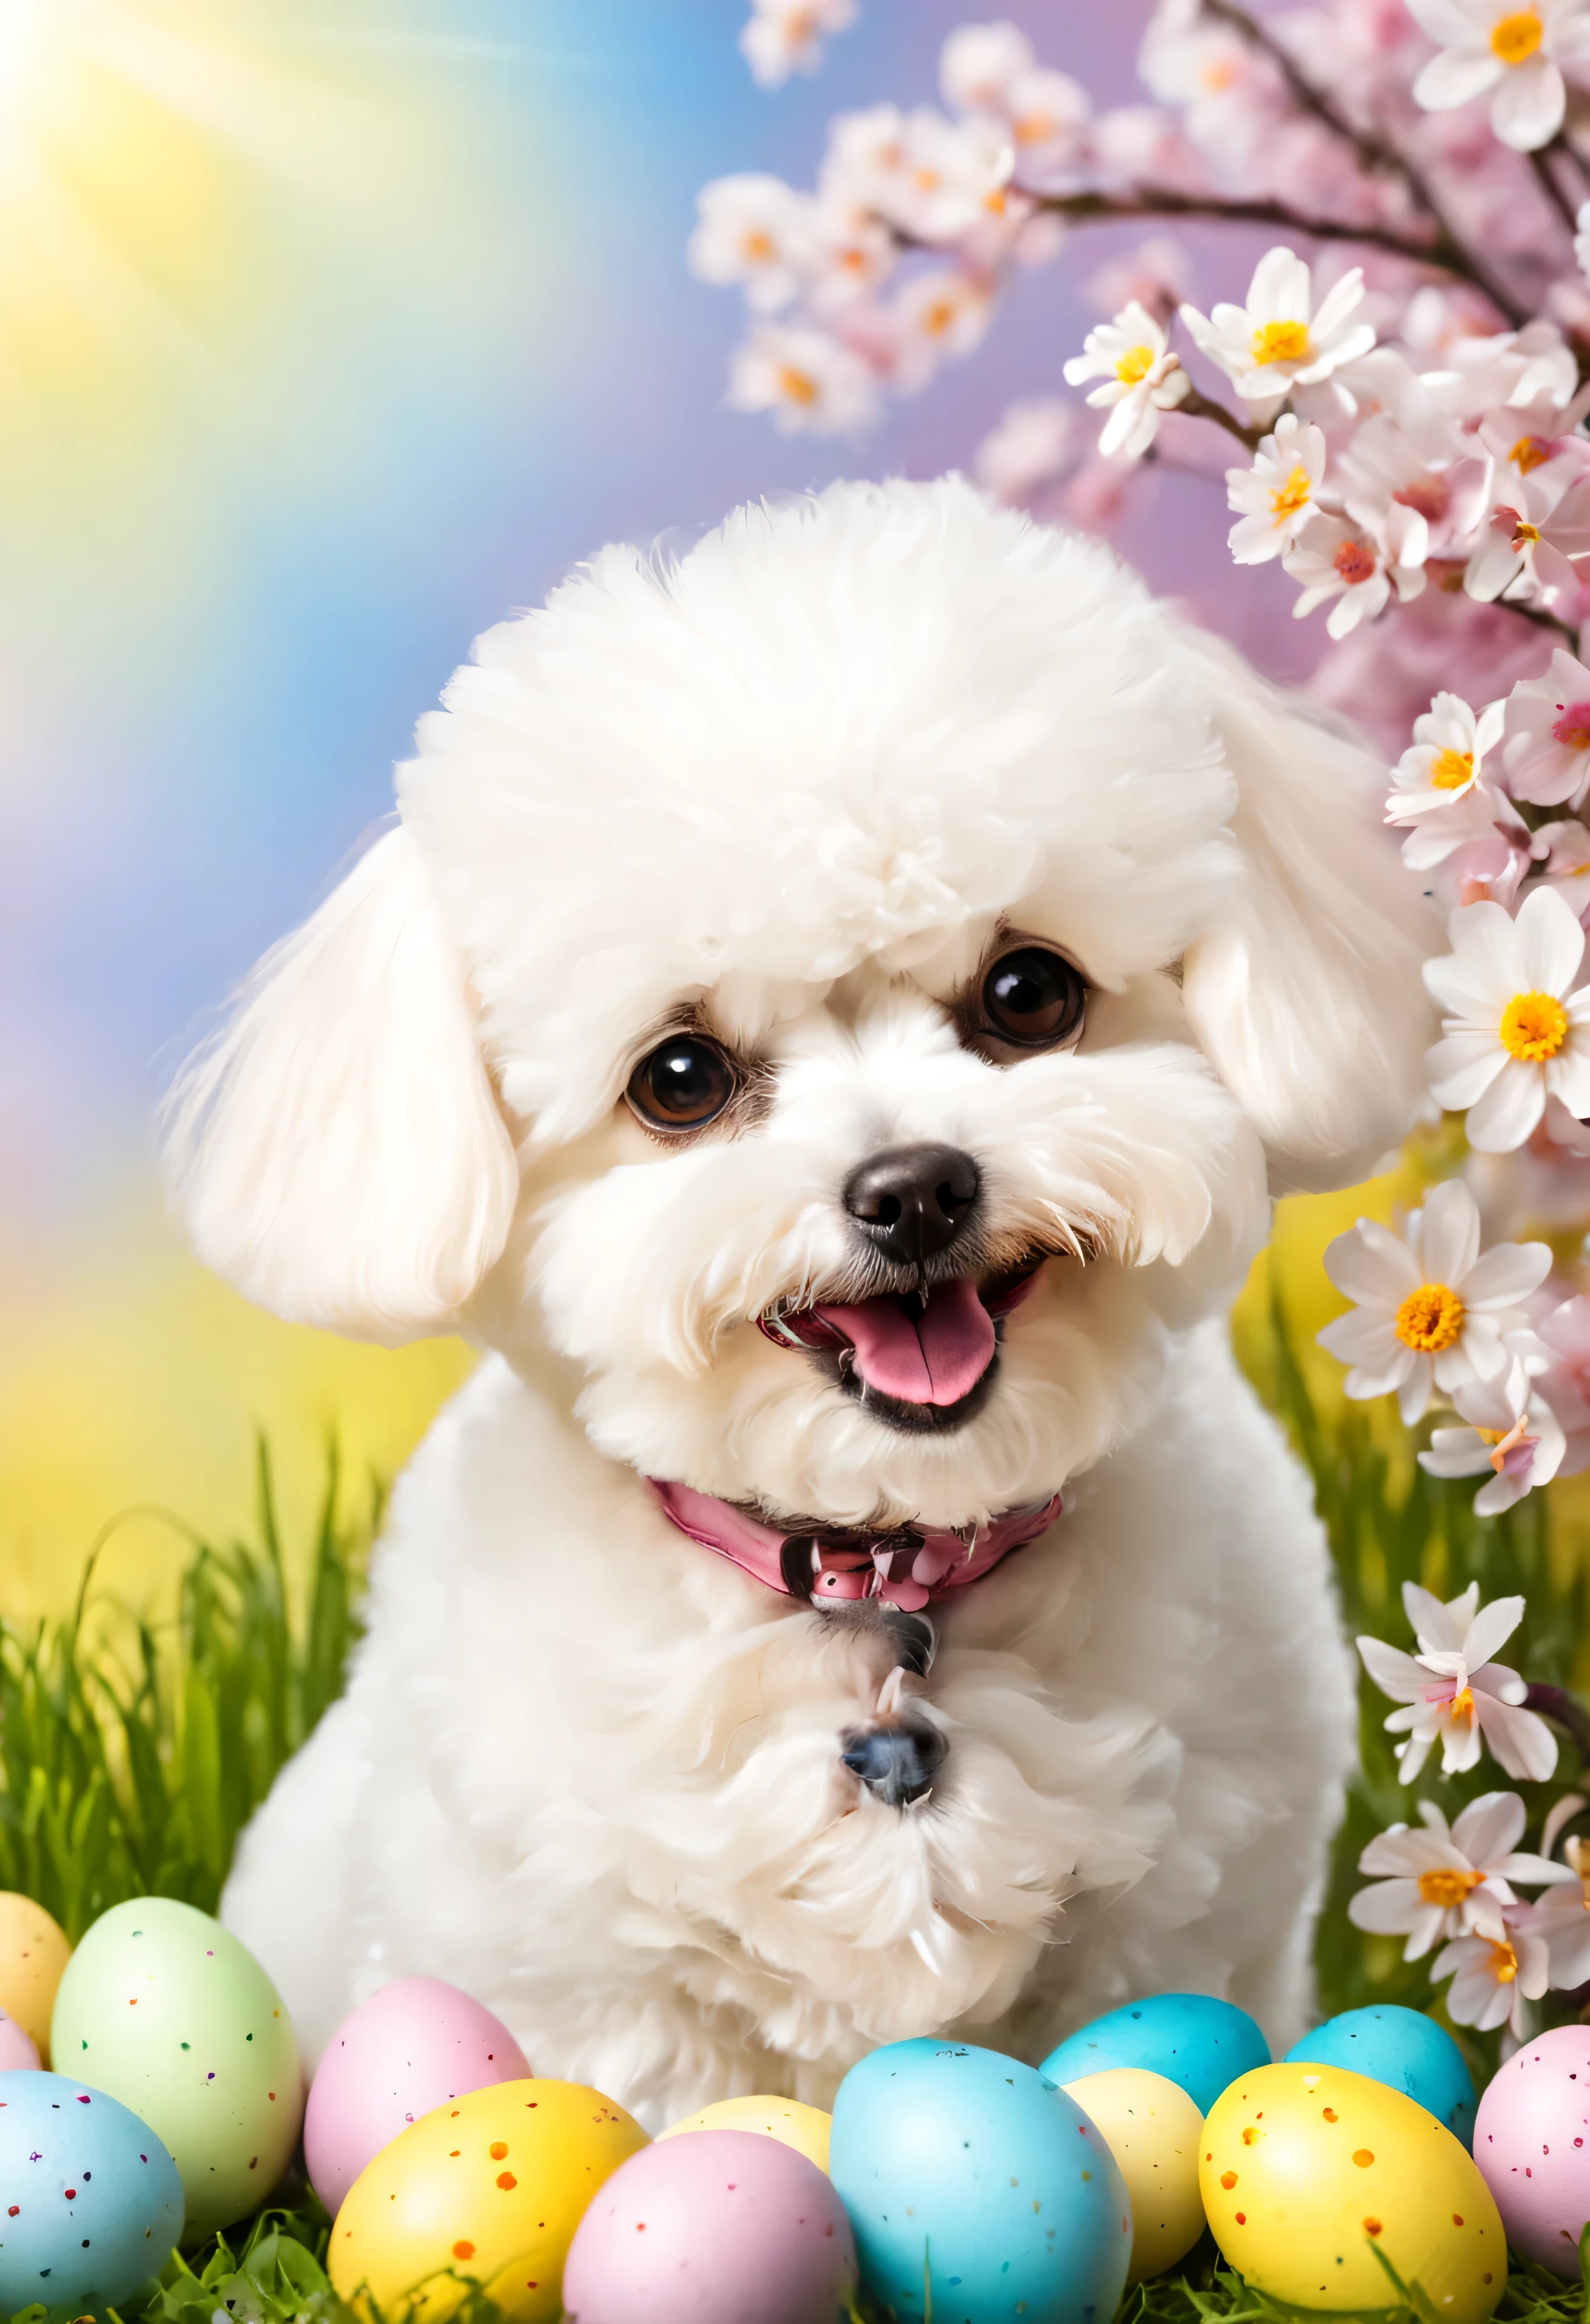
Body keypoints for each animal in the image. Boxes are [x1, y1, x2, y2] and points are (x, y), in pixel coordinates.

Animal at [167, 471, 1431, 2128]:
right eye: (679, 1078)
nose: (914, 1190)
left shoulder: (1196, 1935)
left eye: (1028, 992)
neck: (878, 1580)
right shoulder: (600, 2008)